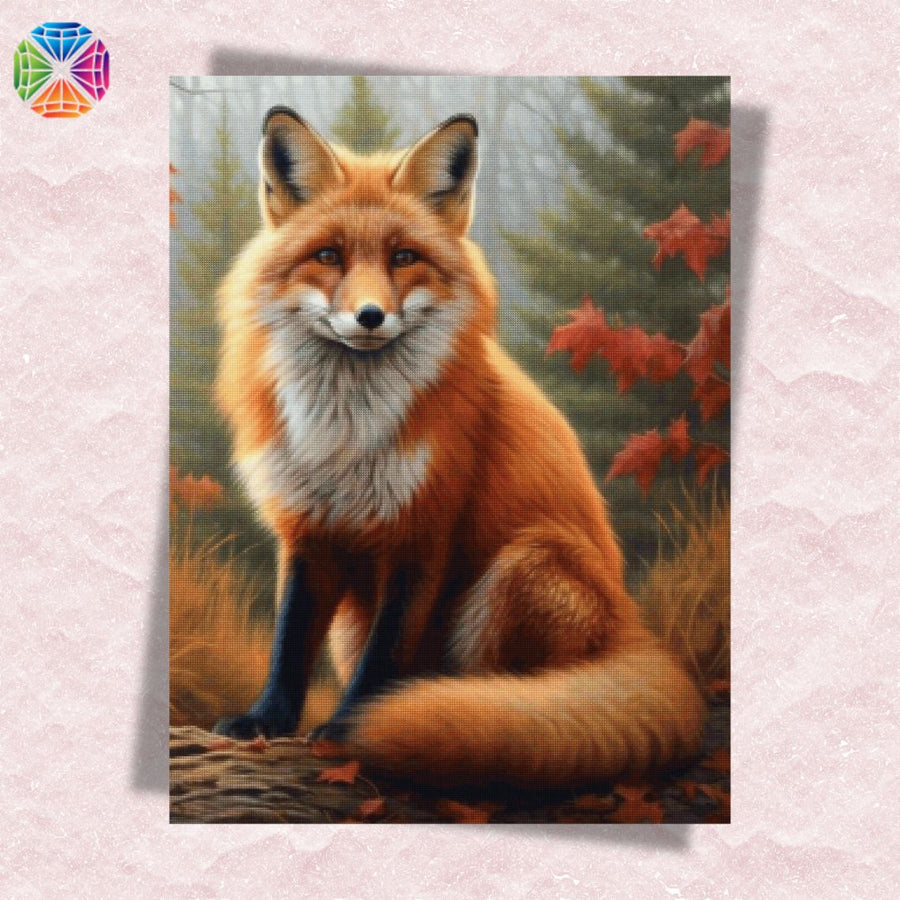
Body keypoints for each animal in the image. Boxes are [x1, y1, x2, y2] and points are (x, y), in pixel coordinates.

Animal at [212, 106, 704, 787]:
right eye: (329, 255)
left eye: (404, 257)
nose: (370, 316)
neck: (346, 437)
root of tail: (637, 632)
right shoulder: (311, 531)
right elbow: (289, 642)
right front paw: (267, 720)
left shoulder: (424, 532)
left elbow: (384, 657)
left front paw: (348, 729)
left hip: (525, 563)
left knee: (512, 702)